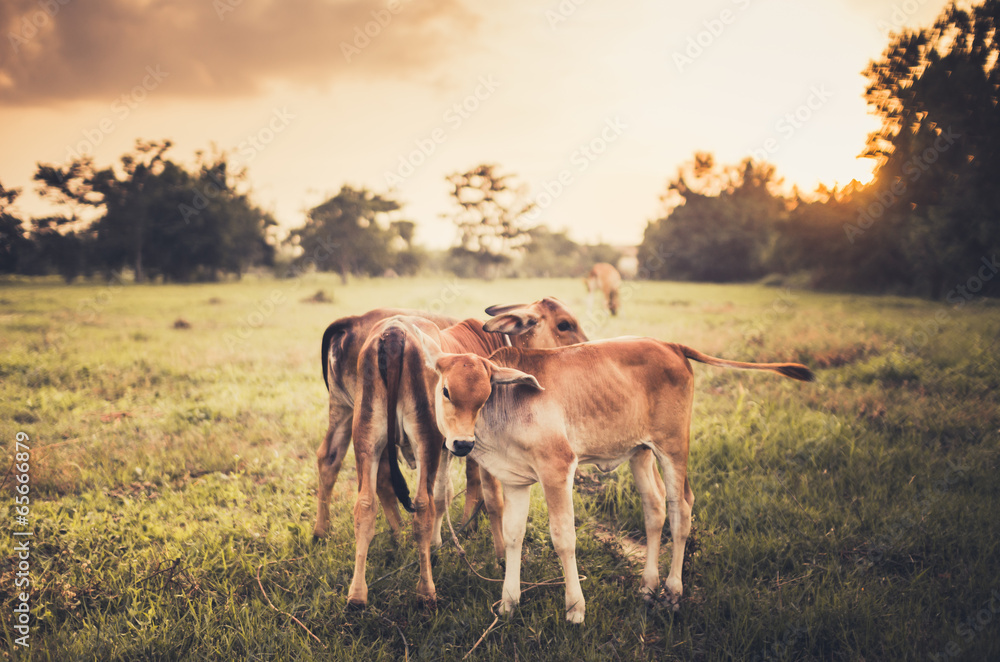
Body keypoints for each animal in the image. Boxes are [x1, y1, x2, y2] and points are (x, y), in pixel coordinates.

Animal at [411, 332, 814, 623]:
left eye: (484, 396)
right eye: (445, 391)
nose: (462, 443)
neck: (505, 410)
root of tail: (670, 344)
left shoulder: (558, 468)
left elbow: (564, 538)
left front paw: (575, 608)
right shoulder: (515, 480)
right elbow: (513, 537)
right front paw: (509, 602)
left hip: (673, 447)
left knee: (681, 508)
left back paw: (673, 591)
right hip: (640, 452)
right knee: (654, 509)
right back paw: (648, 586)